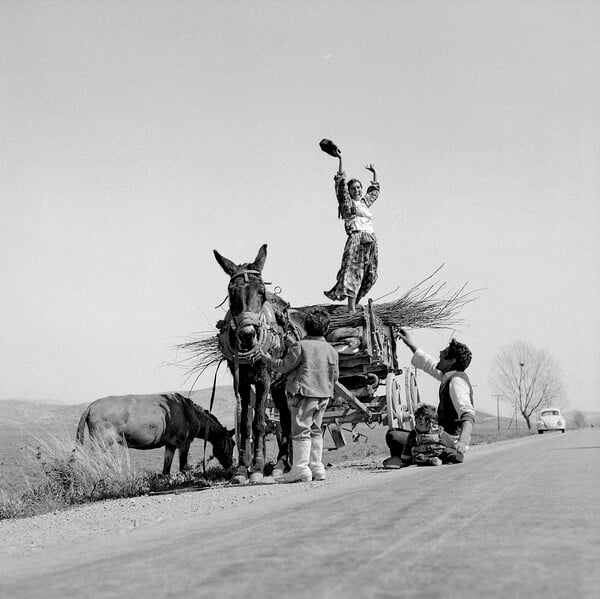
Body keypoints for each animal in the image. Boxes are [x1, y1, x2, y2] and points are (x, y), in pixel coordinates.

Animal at [79, 396, 237, 476]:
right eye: (233, 444)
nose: (231, 465)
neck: (190, 413)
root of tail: (90, 406)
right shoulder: (184, 443)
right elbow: (183, 467)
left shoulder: (171, 445)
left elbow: (166, 470)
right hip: (101, 443)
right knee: (94, 462)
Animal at [213, 246, 292, 486]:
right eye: (231, 293)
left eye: (262, 292)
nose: (247, 335)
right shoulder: (241, 383)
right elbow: (245, 423)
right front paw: (241, 469)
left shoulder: (264, 380)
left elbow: (258, 423)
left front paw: (256, 468)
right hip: (278, 386)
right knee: (285, 416)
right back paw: (281, 464)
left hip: (279, 381)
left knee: (287, 417)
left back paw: (280, 465)